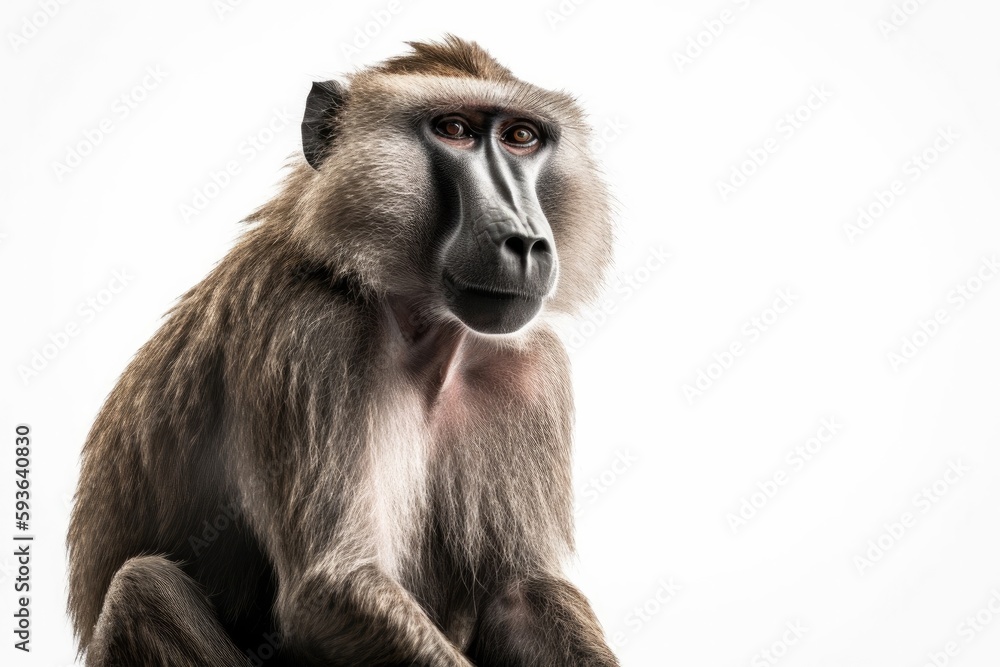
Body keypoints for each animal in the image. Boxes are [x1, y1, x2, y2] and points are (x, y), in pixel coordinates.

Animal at [67, 35, 618, 667]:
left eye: (521, 137)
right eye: (454, 129)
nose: (524, 241)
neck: (424, 336)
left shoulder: (530, 371)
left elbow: (520, 594)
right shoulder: (308, 332)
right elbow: (331, 589)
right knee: (142, 587)